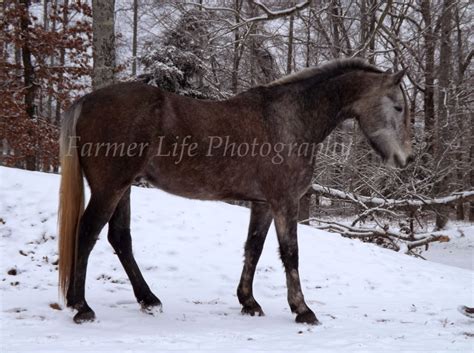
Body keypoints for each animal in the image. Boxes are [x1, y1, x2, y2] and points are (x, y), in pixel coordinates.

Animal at [56, 58, 412, 324]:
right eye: (398, 107)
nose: (404, 159)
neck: (289, 120)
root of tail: (87, 100)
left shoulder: (263, 204)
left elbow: (253, 248)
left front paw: (249, 301)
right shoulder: (284, 202)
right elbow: (290, 253)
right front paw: (302, 309)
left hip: (124, 189)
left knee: (120, 238)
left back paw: (148, 299)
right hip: (109, 188)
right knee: (86, 233)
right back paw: (81, 306)